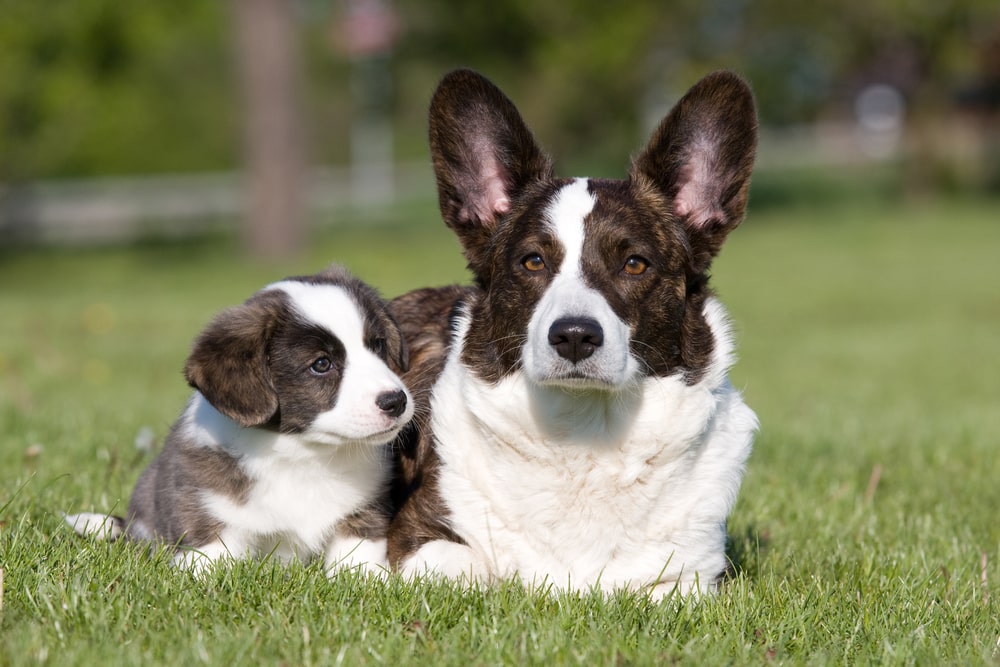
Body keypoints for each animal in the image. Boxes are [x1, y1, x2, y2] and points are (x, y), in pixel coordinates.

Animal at [66, 266, 412, 576]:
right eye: (321, 364)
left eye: (378, 345)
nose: (396, 401)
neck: (304, 455)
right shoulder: (208, 512)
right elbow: (211, 559)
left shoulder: (363, 511)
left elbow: (357, 556)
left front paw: (368, 579)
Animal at [388, 70, 756, 596]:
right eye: (533, 261)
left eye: (635, 263)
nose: (576, 336)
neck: (584, 430)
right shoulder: (415, 540)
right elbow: (473, 568)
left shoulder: (691, 575)